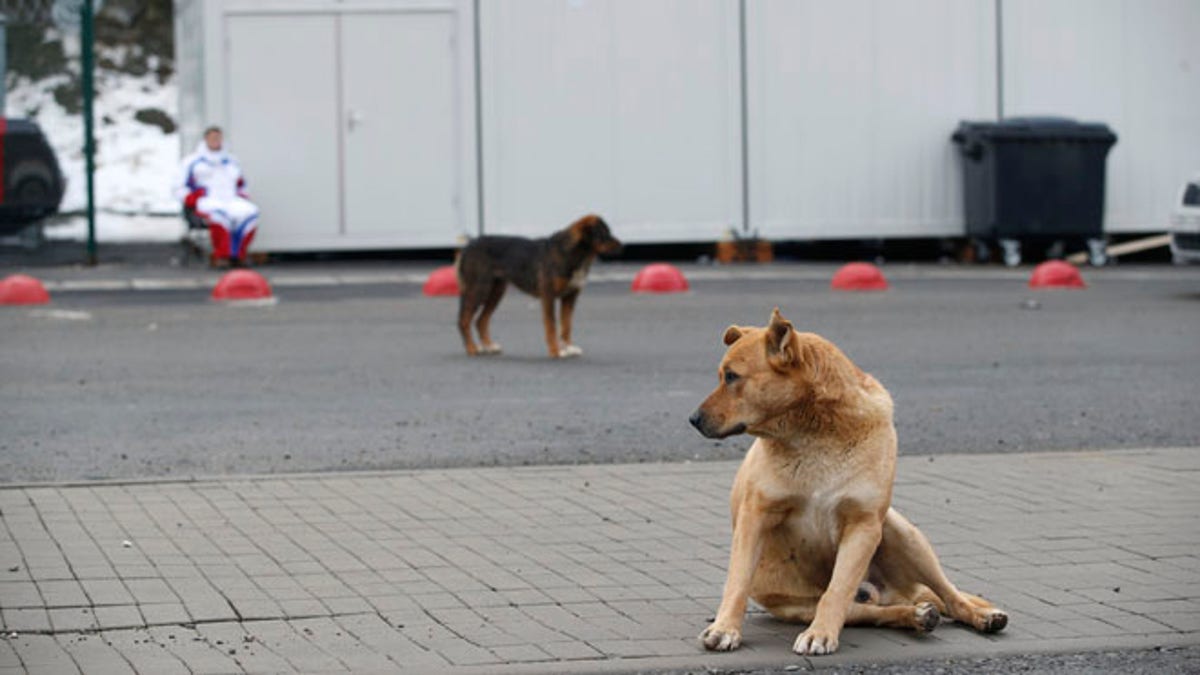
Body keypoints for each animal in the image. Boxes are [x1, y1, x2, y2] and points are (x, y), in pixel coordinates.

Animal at [451, 213, 619, 357]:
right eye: (604, 234)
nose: (621, 246)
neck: (573, 252)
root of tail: (467, 246)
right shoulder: (548, 296)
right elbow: (551, 326)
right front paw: (556, 351)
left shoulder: (570, 297)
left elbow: (566, 326)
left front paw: (569, 348)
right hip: (479, 289)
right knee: (463, 320)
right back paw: (472, 348)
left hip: (496, 291)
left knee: (481, 321)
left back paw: (489, 346)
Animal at [691, 309, 1008, 653]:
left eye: (731, 376)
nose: (693, 419)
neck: (815, 434)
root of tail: (893, 591)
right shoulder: (755, 516)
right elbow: (737, 582)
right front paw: (725, 628)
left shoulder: (864, 525)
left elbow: (837, 590)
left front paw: (820, 634)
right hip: (803, 606)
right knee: (874, 612)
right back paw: (916, 615)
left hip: (903, 535)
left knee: (950, 596)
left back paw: (980, 616)